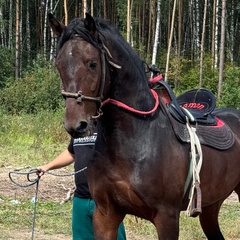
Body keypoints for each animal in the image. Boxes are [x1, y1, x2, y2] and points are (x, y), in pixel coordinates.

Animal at [48, 13, 240, 240]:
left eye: (92, 64)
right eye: (58, 64)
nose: (76, 124)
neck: (135, 139)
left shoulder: (167, 217)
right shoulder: (105, 214)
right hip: (211, 205)